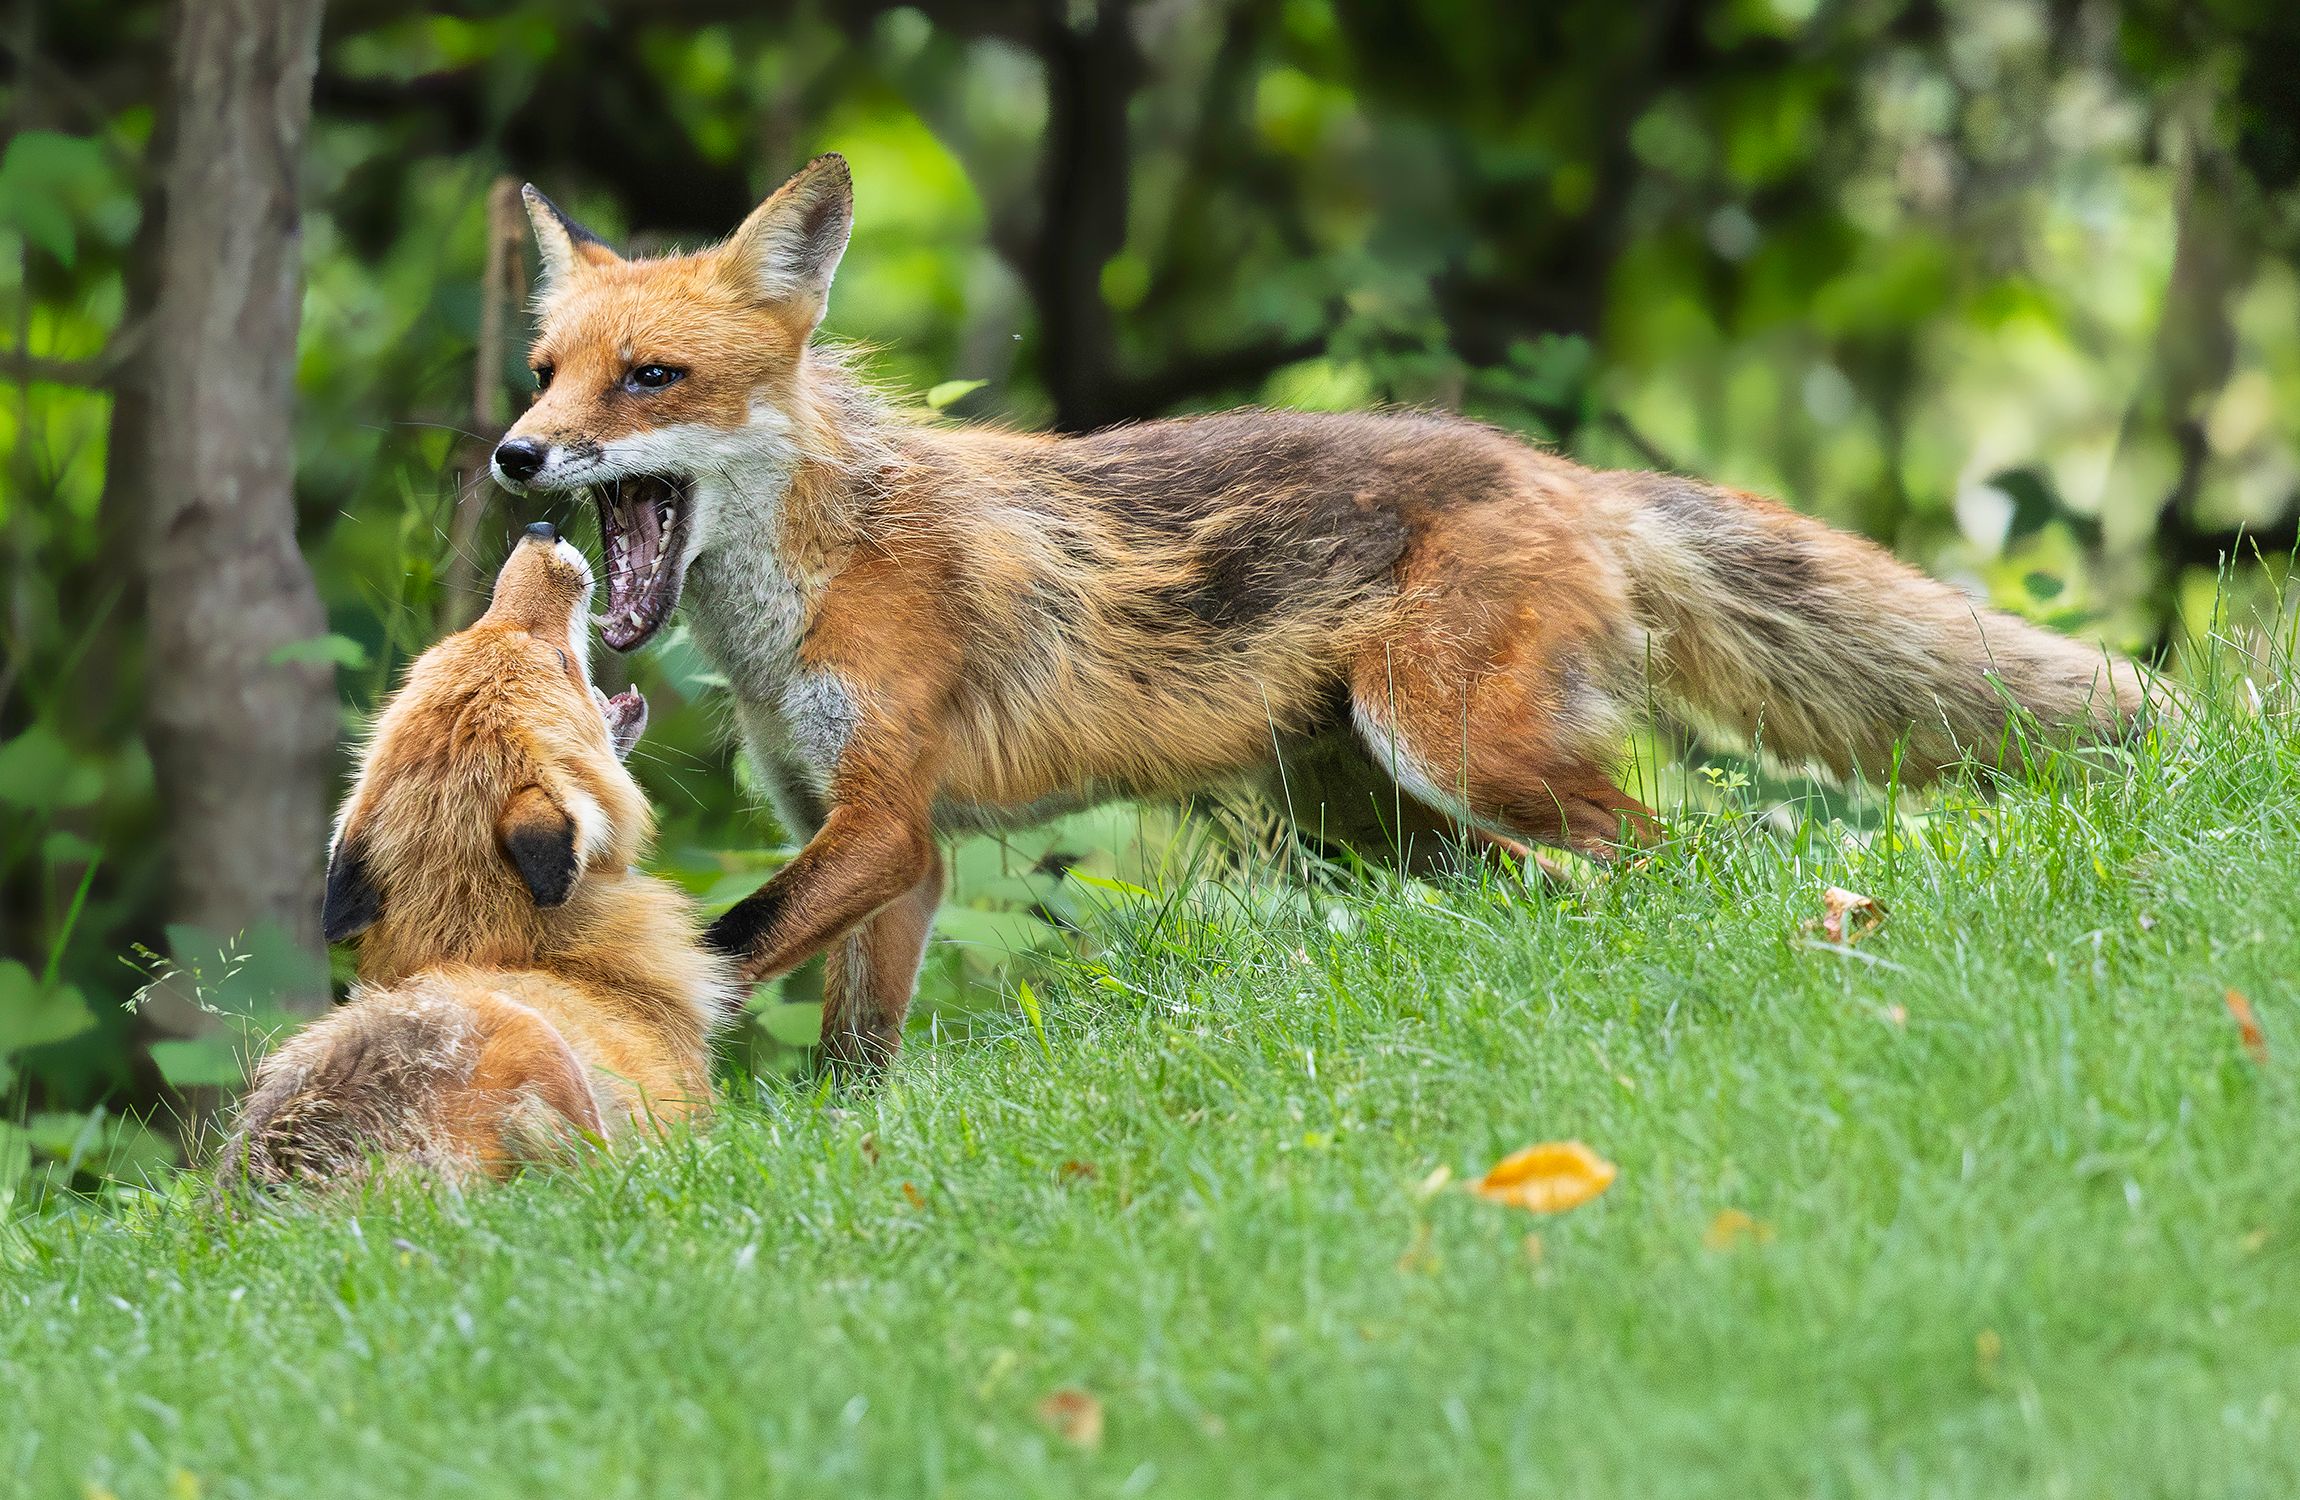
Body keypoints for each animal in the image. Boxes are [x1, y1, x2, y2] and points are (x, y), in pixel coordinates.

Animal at [490, 154, 2156, 1071]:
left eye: (652, 380)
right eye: (546, 373)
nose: (514, 459)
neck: (822, 580)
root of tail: (1568, 469)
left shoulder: (886, 818)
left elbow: (720, 946)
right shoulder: (886, 850)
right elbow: (854, 1054)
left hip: (1450, 749)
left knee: (1679, 850)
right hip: (1371, 820)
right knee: (1547, 877)